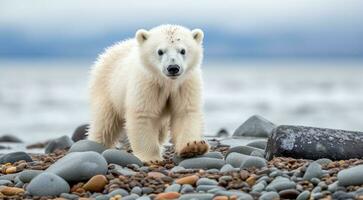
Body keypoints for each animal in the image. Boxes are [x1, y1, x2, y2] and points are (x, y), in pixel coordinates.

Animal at [86, 24, 209, 162]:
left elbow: (185, 112)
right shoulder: (147, 83)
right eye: (160, 51)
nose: (173, 68)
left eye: (183, 50)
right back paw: (96, 143)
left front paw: (193, 147)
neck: (167, 82)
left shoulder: (185, 84)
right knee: (104, 122)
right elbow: (144, 114)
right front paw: (151, 158)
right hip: (107, 88)